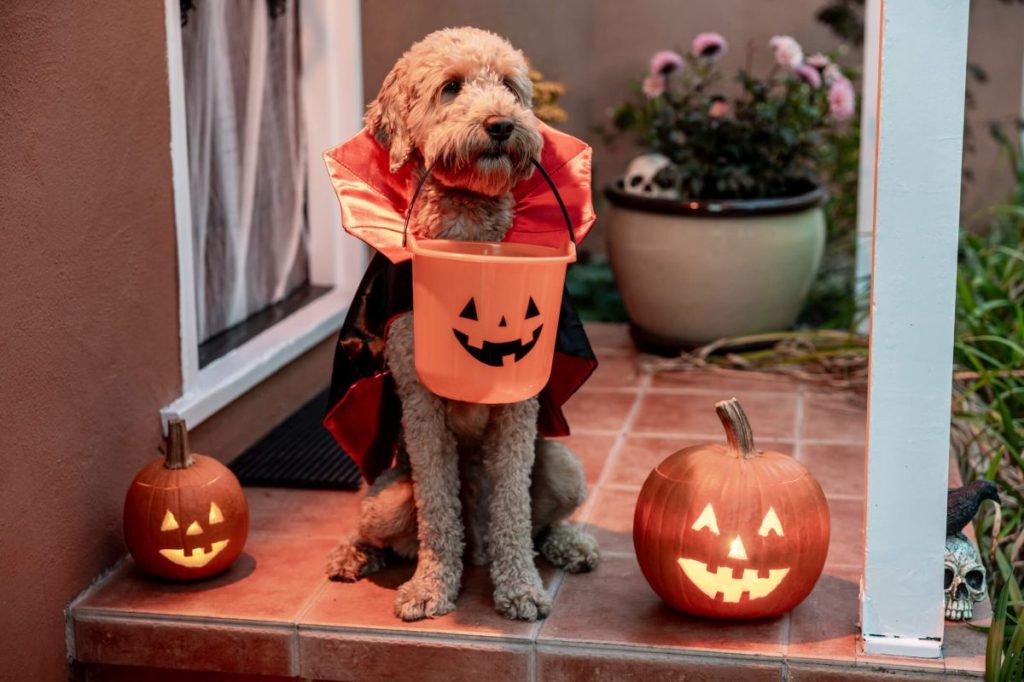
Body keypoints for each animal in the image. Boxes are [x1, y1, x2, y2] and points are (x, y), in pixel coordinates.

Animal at [327, 26, 598, 622]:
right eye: (450, 87)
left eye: (510, 86)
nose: (501, 124)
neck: (473, 236)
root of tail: (477, 546)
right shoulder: (419, 399)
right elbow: (436, 510)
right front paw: (431, 588)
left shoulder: (520, 407)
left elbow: (514, 510)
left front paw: (521, 589)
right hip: (383, 498)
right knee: (381, 529)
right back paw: (354, 555)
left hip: (565, 466)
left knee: (539, 524)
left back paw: (569, 545)